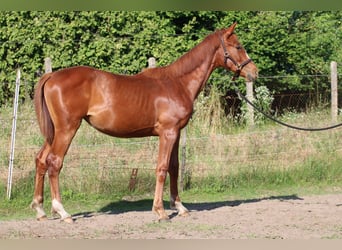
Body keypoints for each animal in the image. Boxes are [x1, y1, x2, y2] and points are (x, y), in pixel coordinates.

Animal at [30, 23, 258, 223]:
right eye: (238, 46)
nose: (254, 72)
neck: (178, 82)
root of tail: (51, 75)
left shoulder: (176, 133)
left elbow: (174, 167)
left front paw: (179, 207)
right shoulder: (168, 133)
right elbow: (162, 168)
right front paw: (160, 211)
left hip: (54, 132)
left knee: (41, 160)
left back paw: (40, 210)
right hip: (67, 129)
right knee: (54, 162)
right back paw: (63, 212)